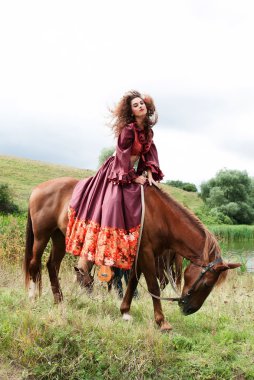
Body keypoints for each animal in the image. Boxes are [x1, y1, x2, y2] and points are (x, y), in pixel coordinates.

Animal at [23, 177, 240, 330]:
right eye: (207, 283)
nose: (189, 310)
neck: (159, 215)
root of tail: (37, 189)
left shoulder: (140, 256)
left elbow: (133, 282)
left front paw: (125, 312)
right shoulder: (146, 253)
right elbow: (152, 285)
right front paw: (162, 322)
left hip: (60, 237)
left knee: (52, 265)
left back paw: (59, 300)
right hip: (42, 235)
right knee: (34, 263)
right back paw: (32, 297)